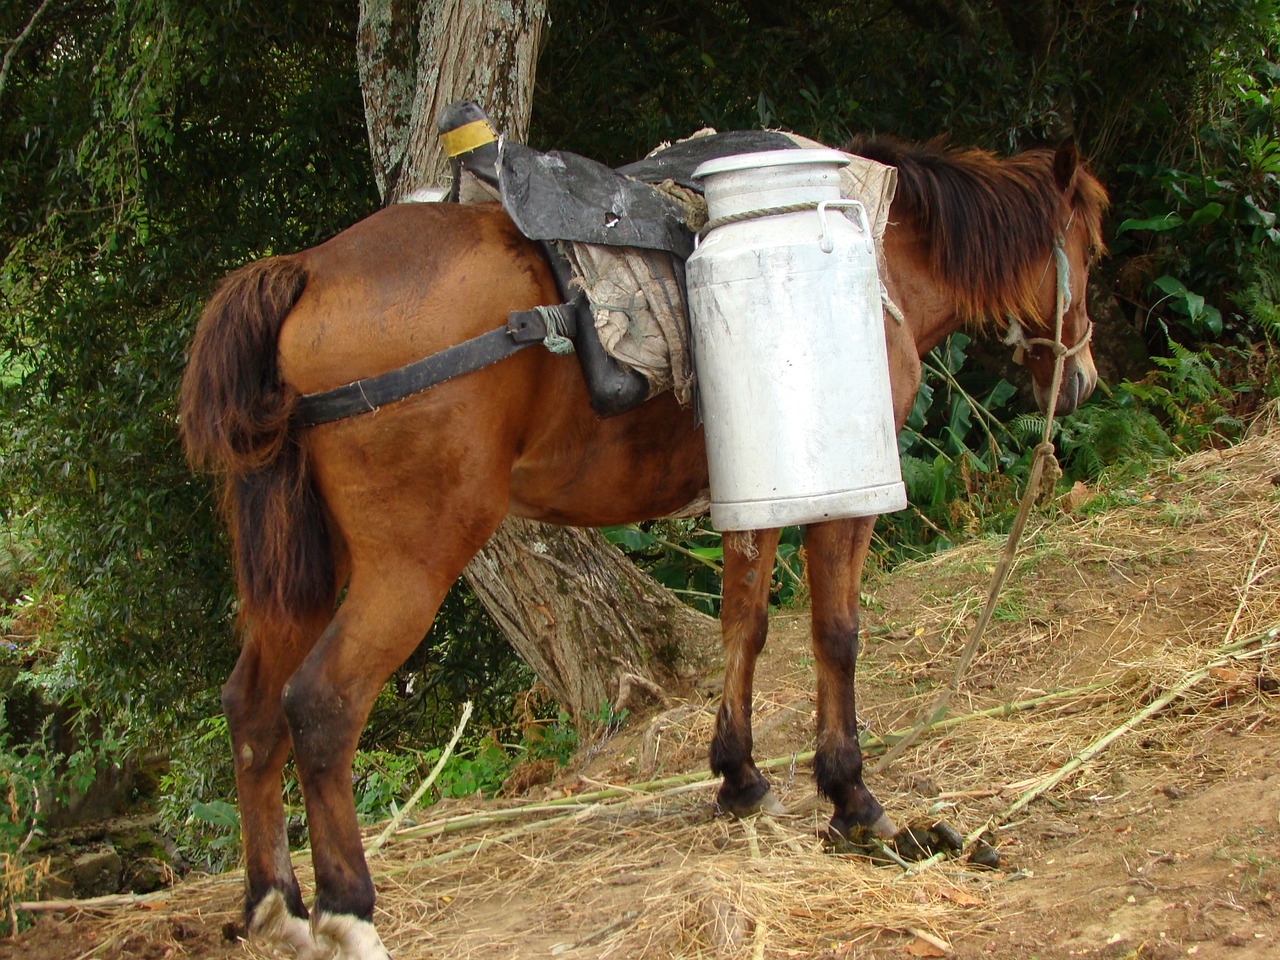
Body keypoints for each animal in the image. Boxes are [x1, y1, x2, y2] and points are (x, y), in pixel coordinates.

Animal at [180, 136, 1111, 960]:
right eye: (1092, 246)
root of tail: (307, 270)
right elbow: (835, 637)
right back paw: (348, 911)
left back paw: (274, 904)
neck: (874, 250)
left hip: (300, 573)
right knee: (322, 708)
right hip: (410, 562)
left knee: (250, 707)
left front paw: (739, 776)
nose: (1082, 379)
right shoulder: (845, 493)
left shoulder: (756, 492)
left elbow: (744, 629)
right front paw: (852, 797)